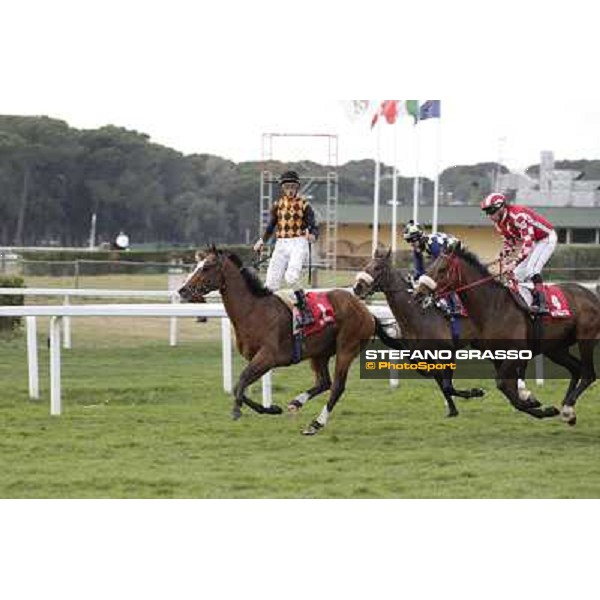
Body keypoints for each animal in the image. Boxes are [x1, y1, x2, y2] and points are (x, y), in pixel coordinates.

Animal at [178, 247, 394, 436]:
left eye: (206, 267)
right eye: (197, 265)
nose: (183, 290)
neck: (253, 311)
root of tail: (367, 312)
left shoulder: (267, 357)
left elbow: (242, 381)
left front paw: (237, 410)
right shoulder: (258, 359)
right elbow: (239, 386)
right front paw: (272, 408)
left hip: (346, 349)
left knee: (337, 387)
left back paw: (315, 424)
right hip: (319, 353)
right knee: (324, 382)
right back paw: (296, 403)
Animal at [354, 248, 486, 418]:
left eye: (377, 268)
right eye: (366, 265)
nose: (357, 287)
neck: (417, 315)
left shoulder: (447, 352)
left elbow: (447, 385)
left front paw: (476, 392)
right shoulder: (423, 354)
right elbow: (439, 380)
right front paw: (452, 409)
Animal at [412, 246, 600, 424]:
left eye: (442, 269)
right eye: (429, 267)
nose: (418, 294)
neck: (493, 306)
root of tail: (591, 295)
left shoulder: (517, 352)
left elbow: (503, 384)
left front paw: (534, 403)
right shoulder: (496, 356)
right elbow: (507, 389)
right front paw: (534, 404)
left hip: (585, 339)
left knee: (588, 374)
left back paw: (567, 408)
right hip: (555, 349)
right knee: (576, 369)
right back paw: (568, 411)